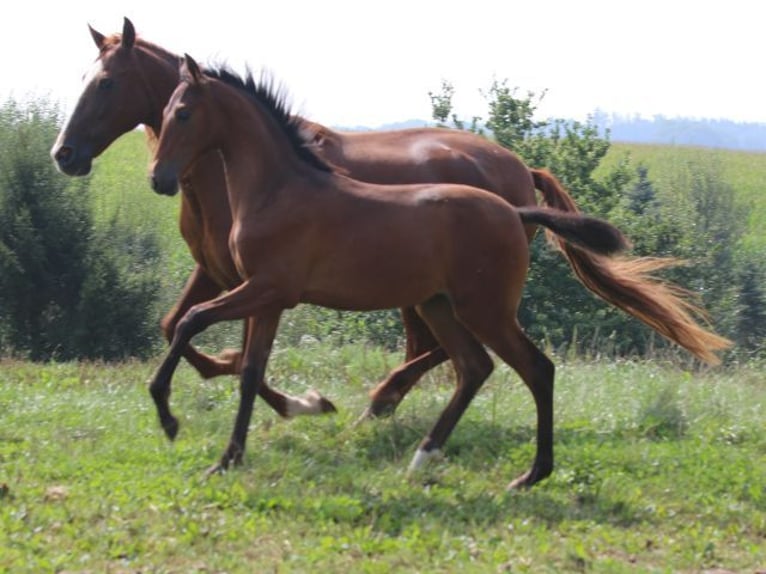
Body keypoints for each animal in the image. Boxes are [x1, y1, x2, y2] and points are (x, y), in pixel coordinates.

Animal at [51, 19, 736, 424]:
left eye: (106, 83)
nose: (64, 154)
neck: (231, 171)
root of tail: (521, 170)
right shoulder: (219, 272)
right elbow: (183, 330)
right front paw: (283, 397)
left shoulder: (254, 282)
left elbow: (228, 347)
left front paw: (302, 402)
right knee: (444, 352)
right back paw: (390, 405)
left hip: (440, 291)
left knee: (443, 351)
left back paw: (382, 400)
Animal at [150, 54, 636, 488]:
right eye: (164, 112)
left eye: (184, 113)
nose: (158, 179)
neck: (278, 191)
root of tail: (515, 213)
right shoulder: (266, 299)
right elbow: (249, 371)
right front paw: (228, 459)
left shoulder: (267, 289)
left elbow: (191, 321)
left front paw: (170, 418)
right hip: (438, 306)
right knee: (474, 366)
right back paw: (422, 458)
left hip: (485, 311)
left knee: (536, 369)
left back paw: (531, 475)